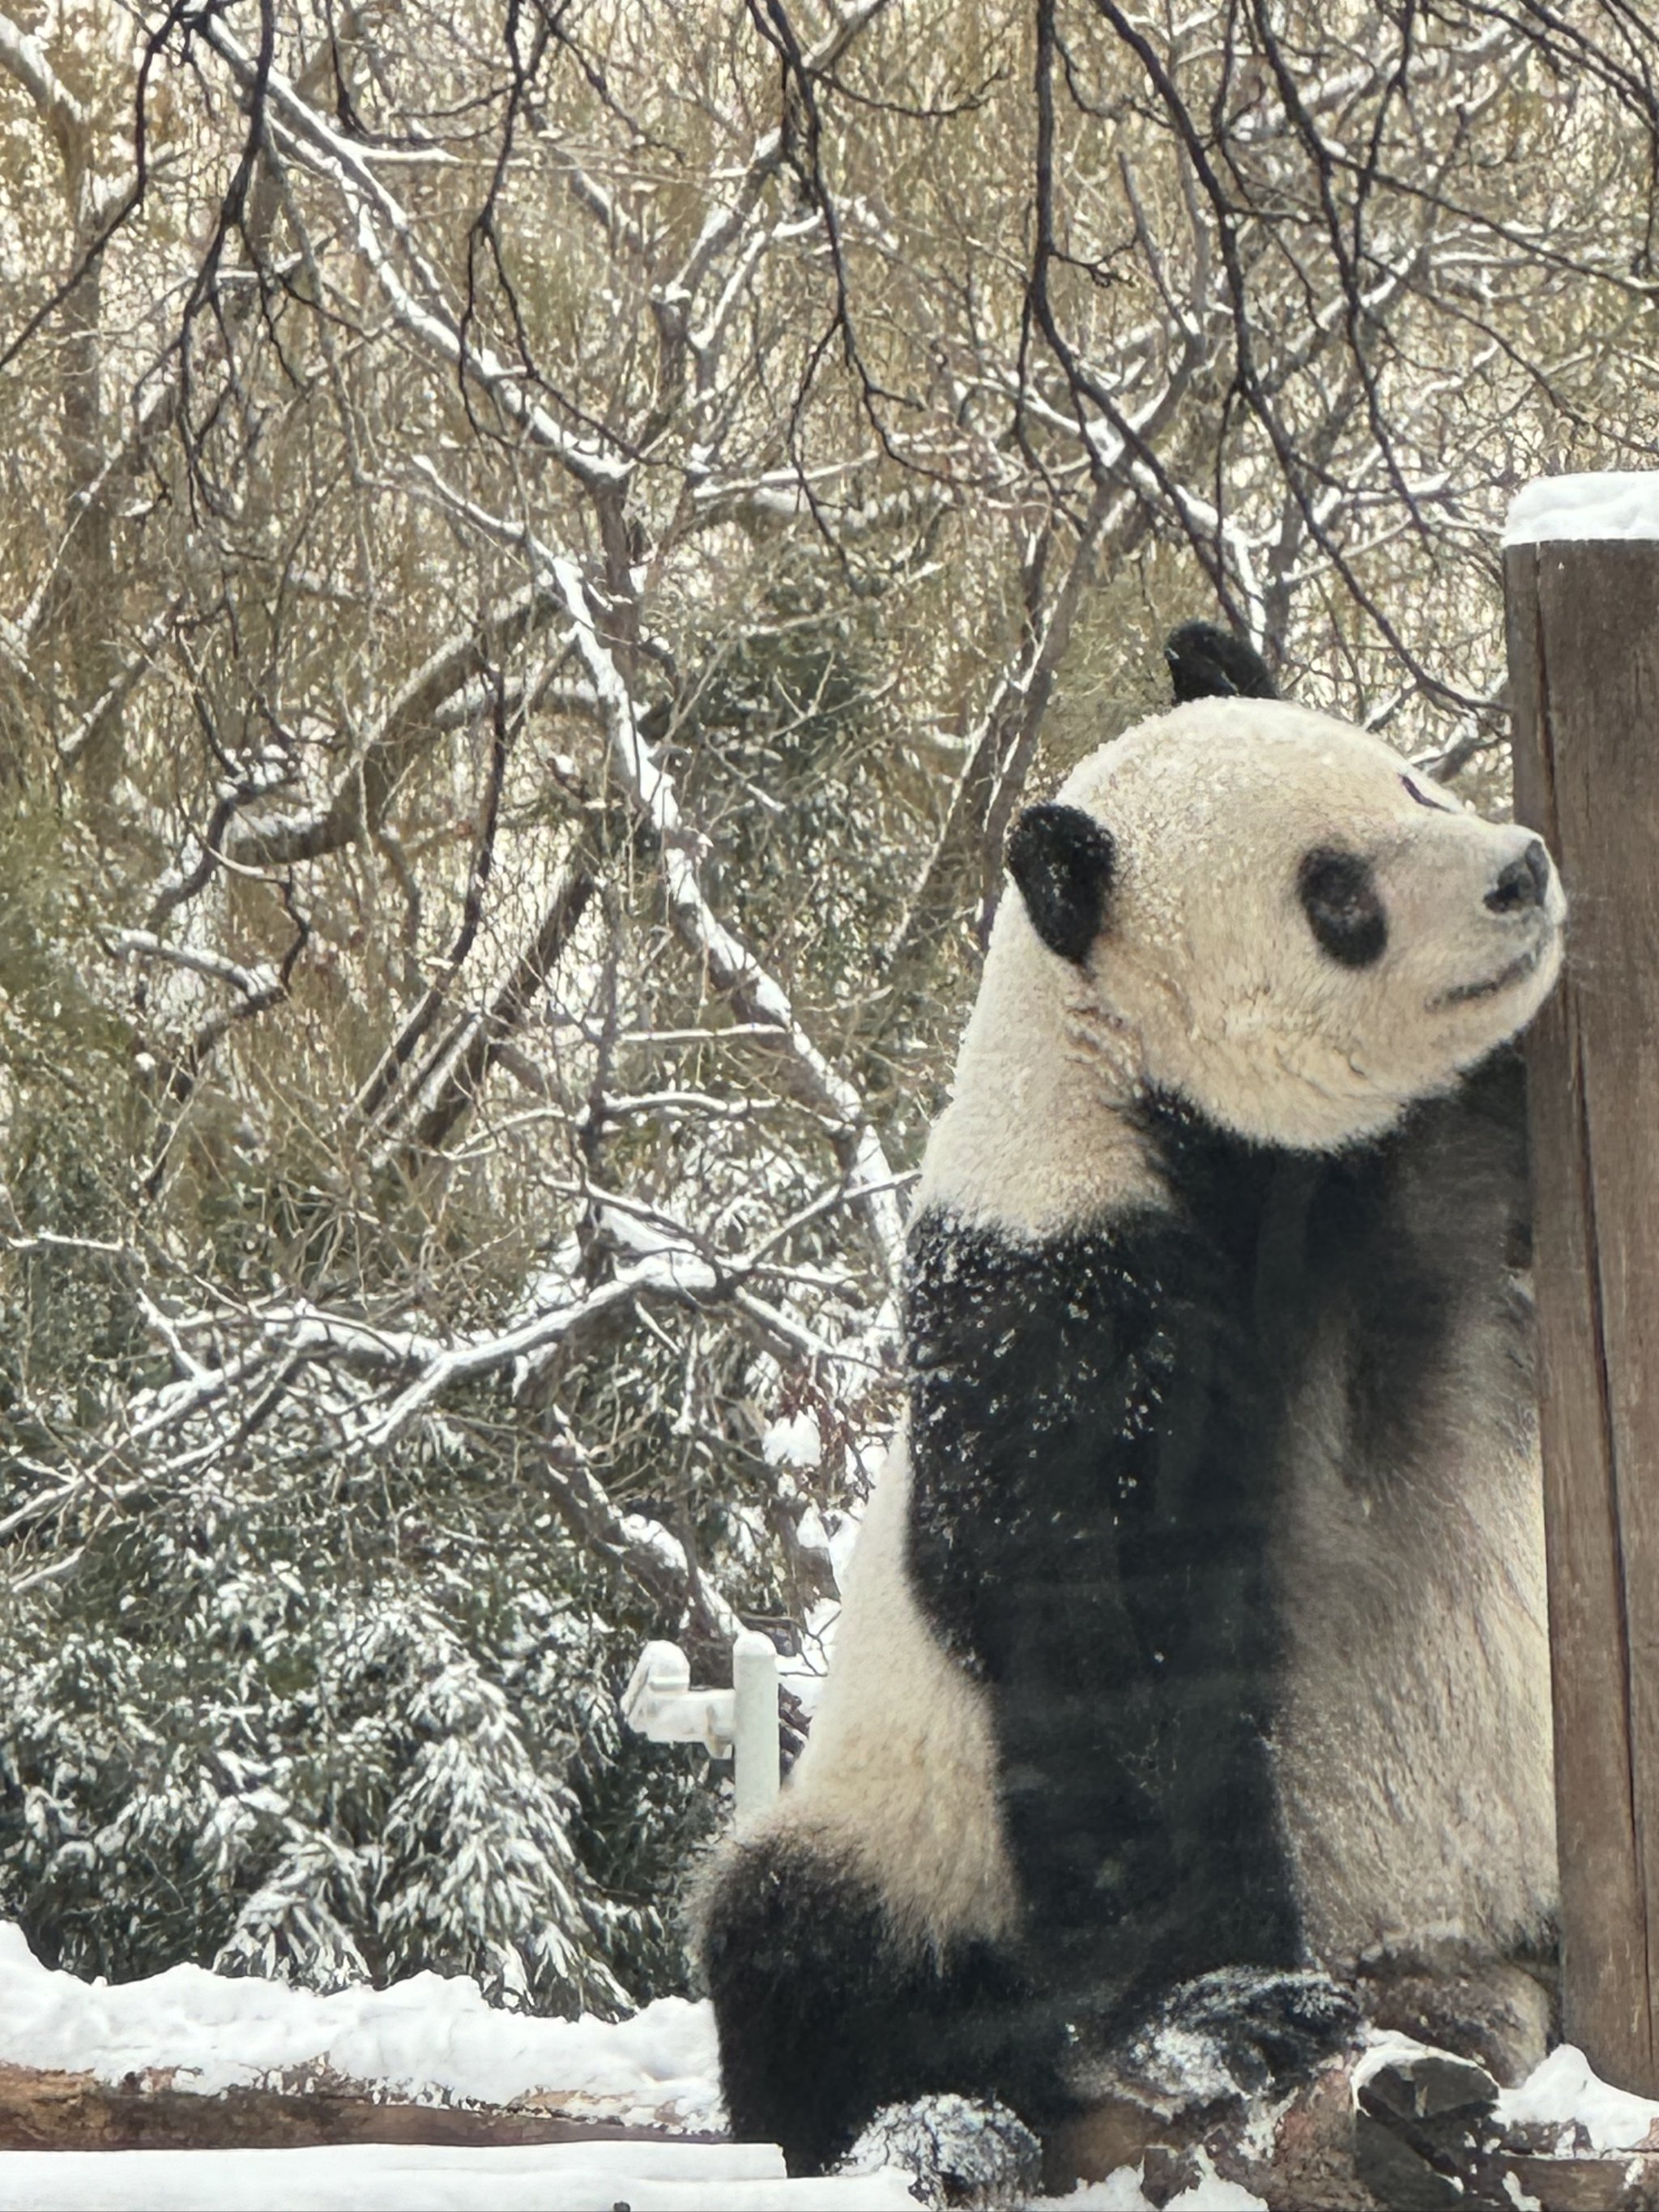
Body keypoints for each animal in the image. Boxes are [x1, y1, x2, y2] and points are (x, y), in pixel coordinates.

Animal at [698, 646, 1557, 2194]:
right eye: (1335, 893)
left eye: (1411, 779)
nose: (1518, 872)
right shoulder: (1061, 1295)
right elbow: (1122, 1651)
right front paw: (1231, 2006)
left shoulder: (1430, 1161)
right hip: (905, 1829)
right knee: (798, 1949)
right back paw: (969, 2102)